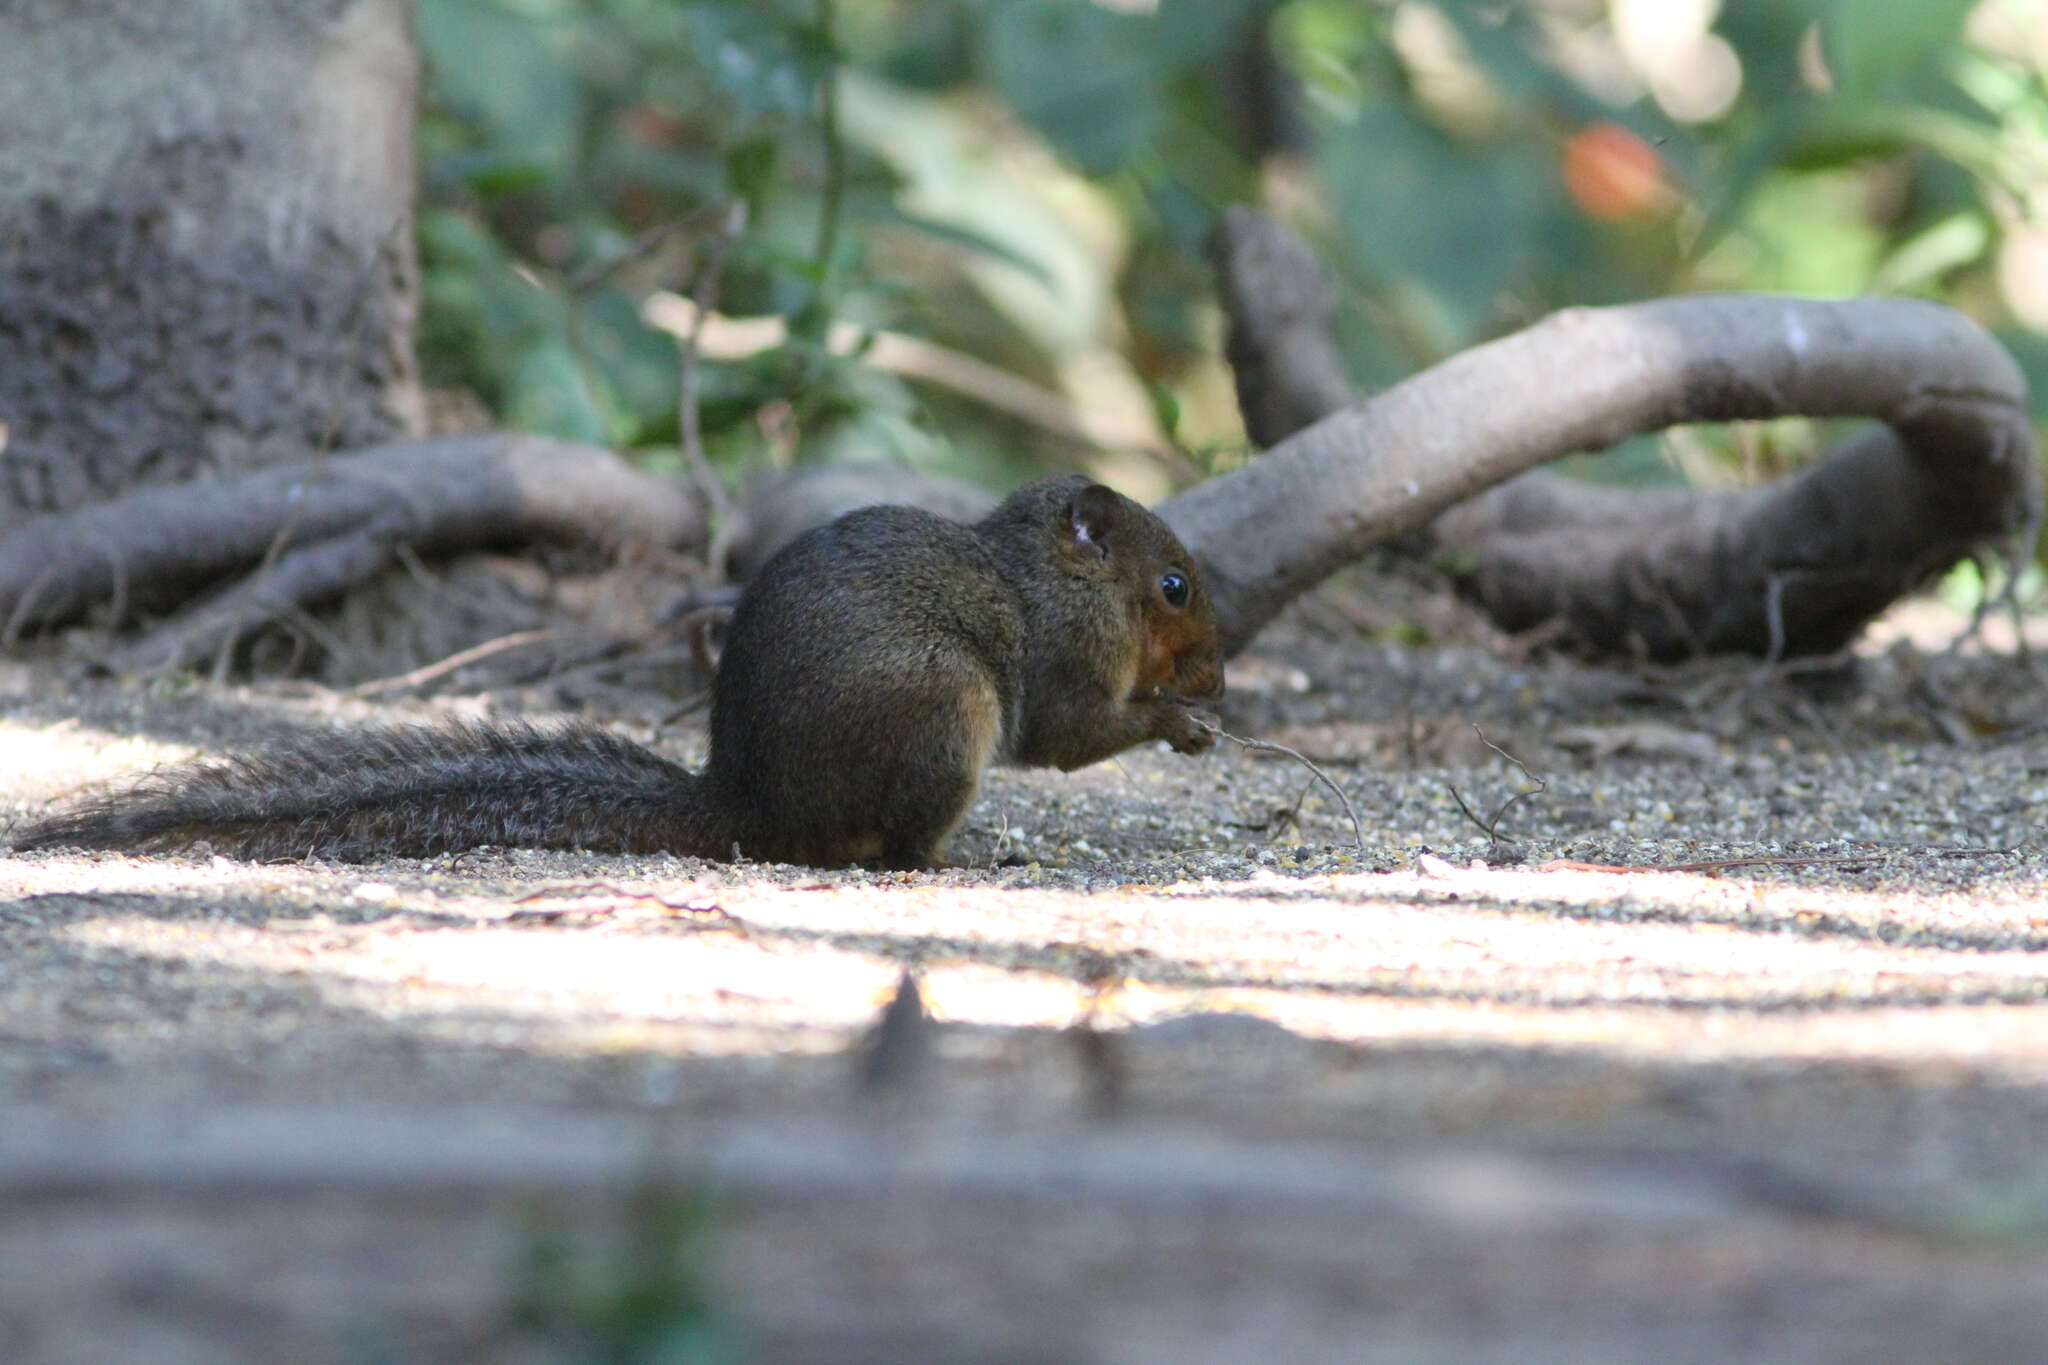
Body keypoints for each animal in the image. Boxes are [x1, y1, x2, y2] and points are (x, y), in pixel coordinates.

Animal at [16, 474, 1220, 871]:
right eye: (1172, 585)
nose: (1213, 676)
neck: (1044, 569)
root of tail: (746, 808)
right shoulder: (1060, 652)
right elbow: (1068, 733)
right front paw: (1179, 724)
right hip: (941, 714)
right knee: (895, 851)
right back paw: (965, 858)